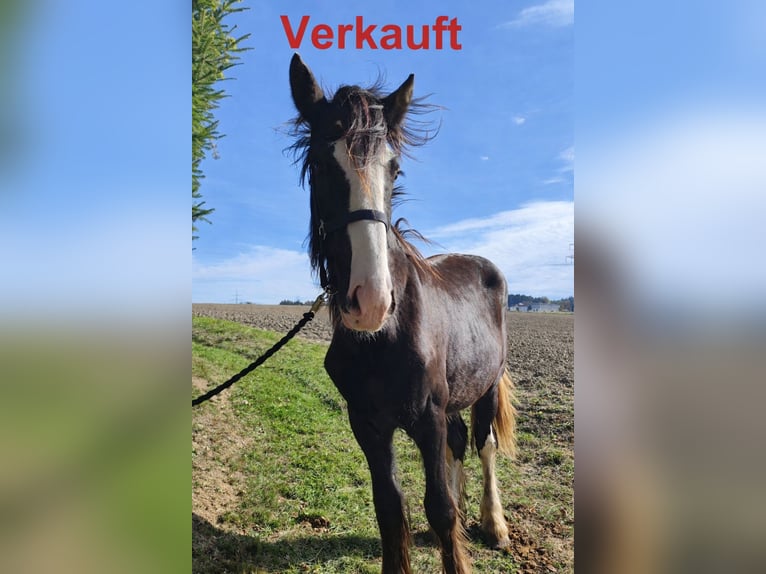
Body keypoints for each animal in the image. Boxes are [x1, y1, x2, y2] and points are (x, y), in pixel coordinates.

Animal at [288, 53, 517, 574]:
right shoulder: (367, 422)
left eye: (394, 169)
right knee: (459, 443)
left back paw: (493, 524)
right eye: (321, 163)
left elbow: (438, 507)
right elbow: (391, 510)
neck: (385, 338)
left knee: (484, 444)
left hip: (485, 383)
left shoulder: (427, 416)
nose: (372, 300)